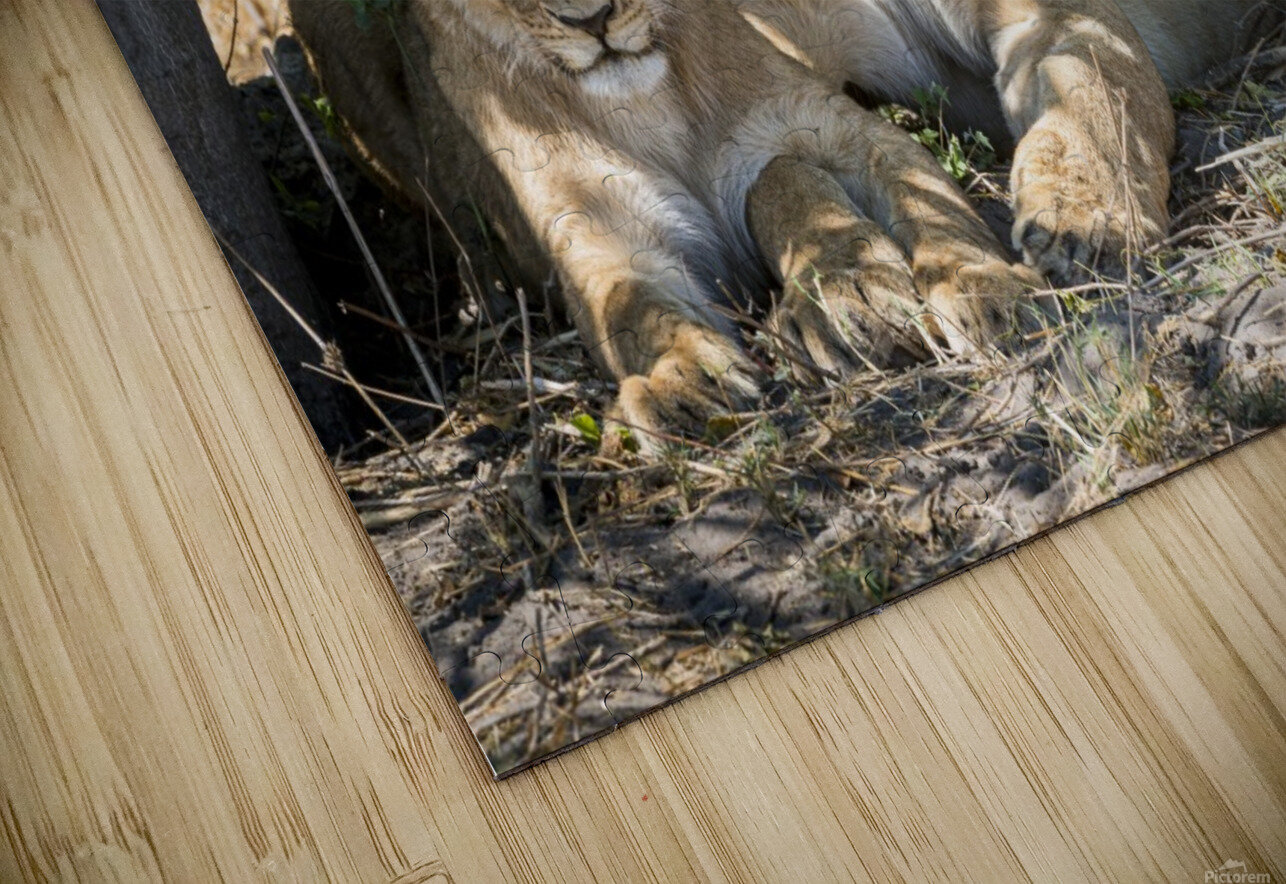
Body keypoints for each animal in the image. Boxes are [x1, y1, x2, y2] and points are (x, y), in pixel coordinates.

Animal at [287, 0, 1279, 448]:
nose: (591, 16)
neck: (645, 92)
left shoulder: (834, 123)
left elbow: (823, 186)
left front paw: (968, 294)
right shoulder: (596, 234)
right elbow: (631, 312)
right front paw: (684, 385)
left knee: (1090, 53)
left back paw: (1085, 225)